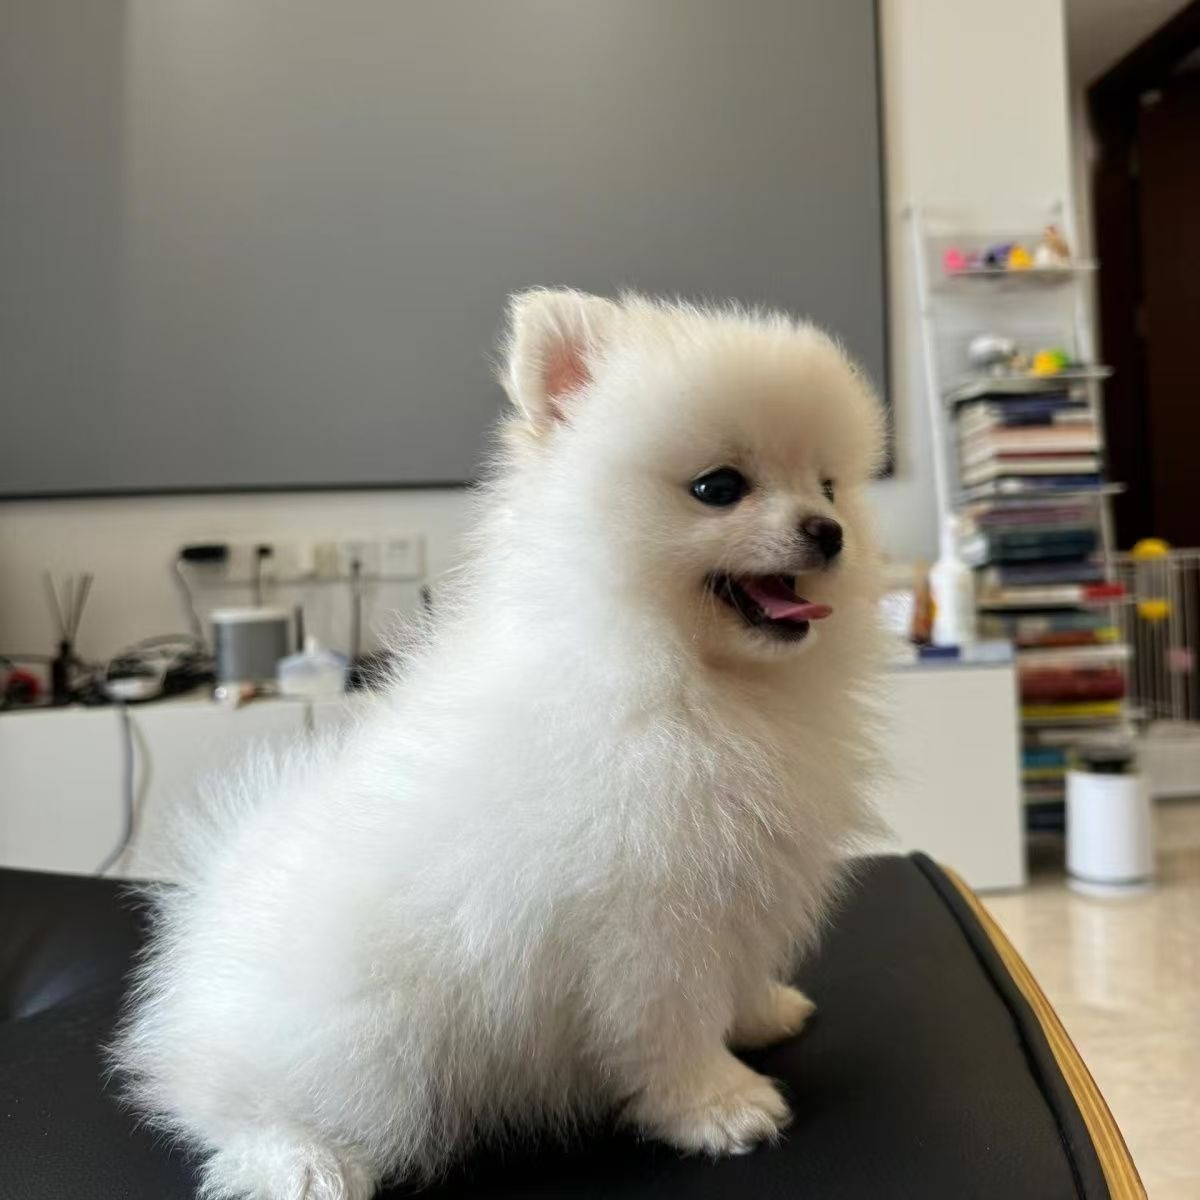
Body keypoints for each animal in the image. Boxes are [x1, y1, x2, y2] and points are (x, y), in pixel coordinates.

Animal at [113, 290, 889, 1200]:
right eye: (719, 488)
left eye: (829, 484)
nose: (828, 530)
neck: (683, 676)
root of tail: (186, 1007)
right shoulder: (648, 917)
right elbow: (672, 1022)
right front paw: (718, 1106)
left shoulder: (734, 886)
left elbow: (732, 977)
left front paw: (763, 1011)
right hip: (359, 1042)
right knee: (246, 1119)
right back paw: (305, 1163)